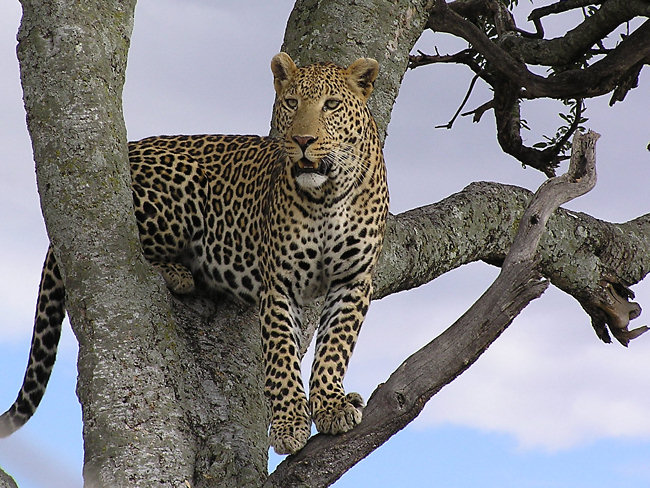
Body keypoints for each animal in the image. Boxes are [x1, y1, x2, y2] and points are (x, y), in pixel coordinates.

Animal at [0, 52, 388, 454]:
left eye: (332, 105)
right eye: (292, 103)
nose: (303, 140)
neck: (327, 195)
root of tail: (131, 147)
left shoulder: (353, 280)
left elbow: (334, 347)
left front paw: (331, 405)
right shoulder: (280, 284)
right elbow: (281, 355)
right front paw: (289, 423)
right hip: (179, 187)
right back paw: (179, 273)